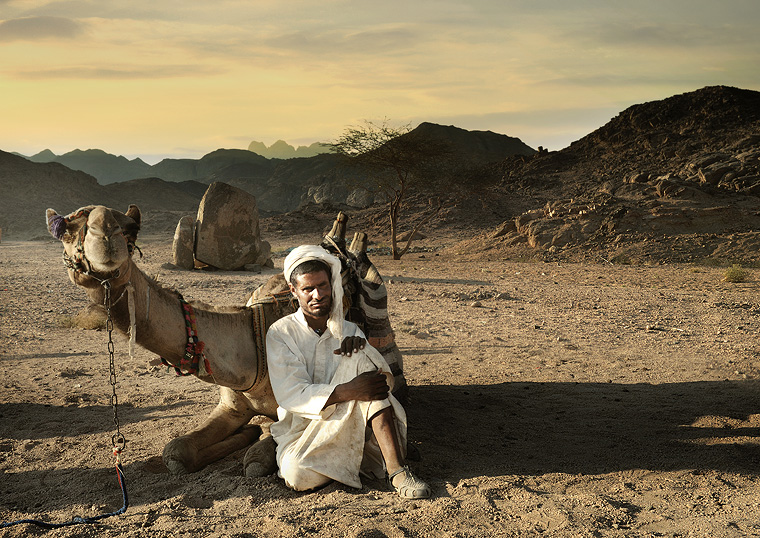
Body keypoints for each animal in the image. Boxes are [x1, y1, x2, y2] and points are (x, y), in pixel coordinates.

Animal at [44, 203, 406, 476]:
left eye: (130, 231)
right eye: (66, 230)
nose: (105, 237)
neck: (252, 340)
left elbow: (257, 461)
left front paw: (257, 439)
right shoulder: (232, 404)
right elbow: (175, 450)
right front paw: (247, 432)